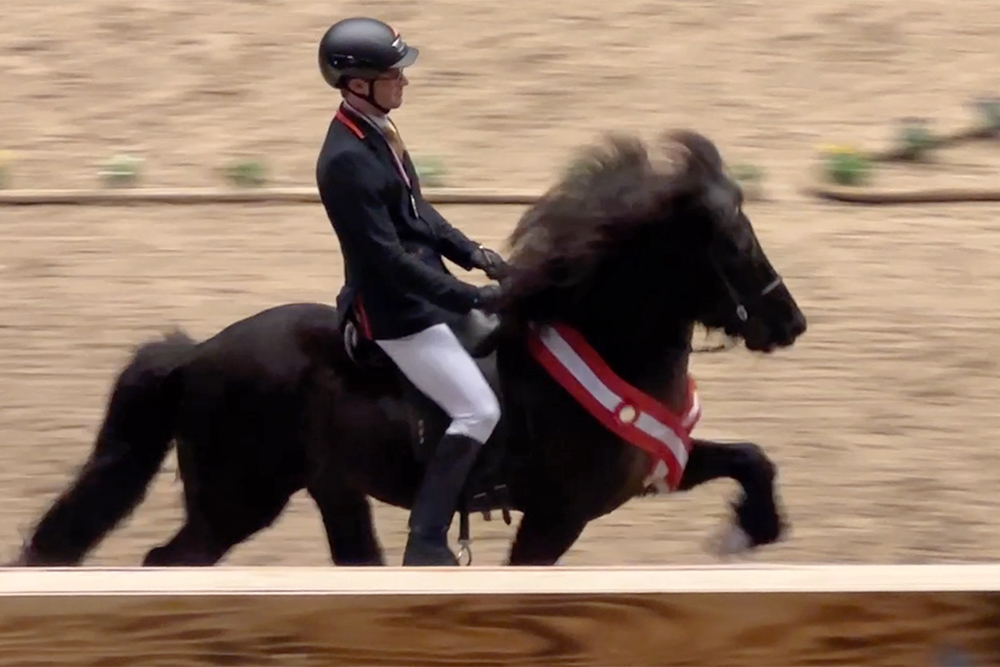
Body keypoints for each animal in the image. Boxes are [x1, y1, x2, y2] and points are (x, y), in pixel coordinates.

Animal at [9, 130, 804, 568]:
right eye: (736, 246)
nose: (791, 324)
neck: (603, 344)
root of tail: (198, 353)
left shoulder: (652, 468)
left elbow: (752, 458)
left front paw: (750, 533)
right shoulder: (559, 516)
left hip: (327, 488)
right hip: (238, 499)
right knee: (169, 560)